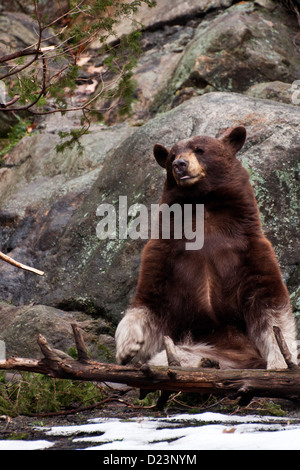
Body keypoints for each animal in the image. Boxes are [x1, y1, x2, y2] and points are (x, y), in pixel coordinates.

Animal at [115, 126, 298, 370]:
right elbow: (150, 304)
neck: (204, 216)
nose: (180, 164)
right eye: (172, 156)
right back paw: (203, 361)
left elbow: (271, 309)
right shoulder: (164, 253)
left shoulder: (251, 251)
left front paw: (280, 362)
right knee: (171, 355)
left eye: (199, 150)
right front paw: (128, 346)